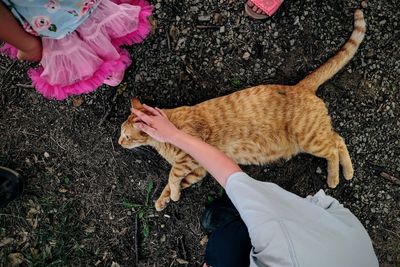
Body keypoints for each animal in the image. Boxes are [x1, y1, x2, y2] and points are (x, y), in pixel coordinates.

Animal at [118, 9, 366, 211]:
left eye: (127, 136)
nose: (119, 143)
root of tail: (299, 86)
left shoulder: (189, 157)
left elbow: (172, 176)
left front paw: (173, 194)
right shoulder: (199, 168)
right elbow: (175, 183)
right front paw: (164, 200)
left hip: (309, 139)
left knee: (333, 147)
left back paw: (335, 177)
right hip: (314, 136)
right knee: (338, 139)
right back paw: (347, 172)